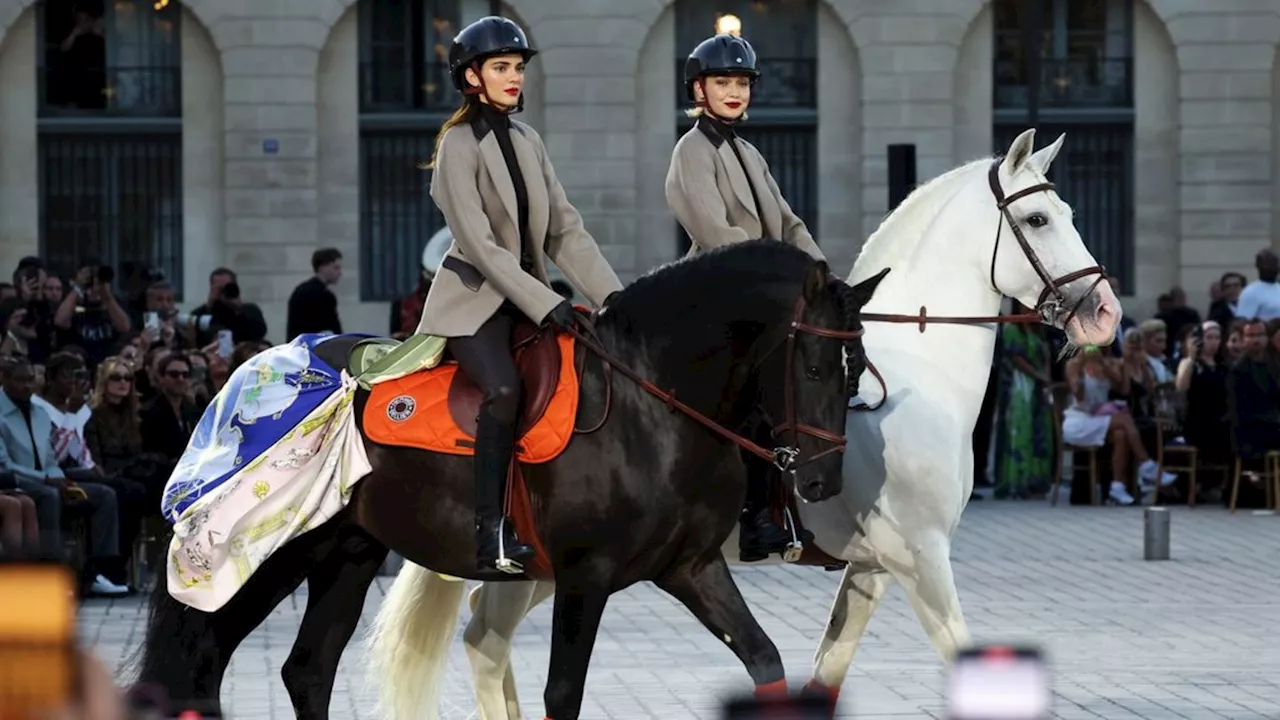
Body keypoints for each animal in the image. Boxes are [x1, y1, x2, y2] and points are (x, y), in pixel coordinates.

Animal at [132, 240, 890, 717]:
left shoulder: (692, 567)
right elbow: (563, 694)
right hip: (264, 558)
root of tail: (253, 370)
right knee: (202, 666)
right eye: (814, 367)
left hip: (346, 553)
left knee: (307, 670)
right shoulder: (586, 576)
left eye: (856, 369)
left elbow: (764, 661)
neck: (653, 404)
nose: (820, 483)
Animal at [366, 130, 1126, 717]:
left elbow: (825, 673)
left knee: (484, 641)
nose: (1104, 313)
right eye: (1039, 221)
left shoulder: (873, 569)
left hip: (543, 569)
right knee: (485, 642)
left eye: (1066, 210)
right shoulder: (920, 557)